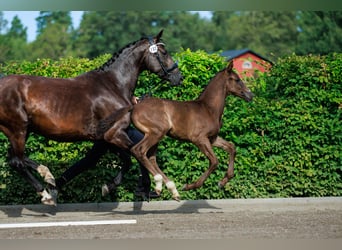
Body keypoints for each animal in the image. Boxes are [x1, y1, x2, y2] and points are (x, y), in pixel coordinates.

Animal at [0, 29, 182, 205]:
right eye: (164, 52)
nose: (178, 77)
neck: (113, 85)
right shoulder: (112, 135)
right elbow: (133, 155)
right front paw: (112, 187)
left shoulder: (104, 139)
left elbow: (116, 158)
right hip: (18, 129)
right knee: (17, 161)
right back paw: (45, 192)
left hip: (22, 130)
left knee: (15, 159)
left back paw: (48, 178)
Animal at [103, 61, 252, 200]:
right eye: (236, 79)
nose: (250, 95)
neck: (208, 109)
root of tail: (133, 107)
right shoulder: (199, 139)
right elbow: (214, 161)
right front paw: (190, 186)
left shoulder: (212, 139)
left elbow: (231, 147)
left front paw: (223, 182)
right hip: (156, 133)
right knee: (138, 150)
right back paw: (161, 185)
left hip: (154, 136)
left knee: (150, 158)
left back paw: (168, 188)